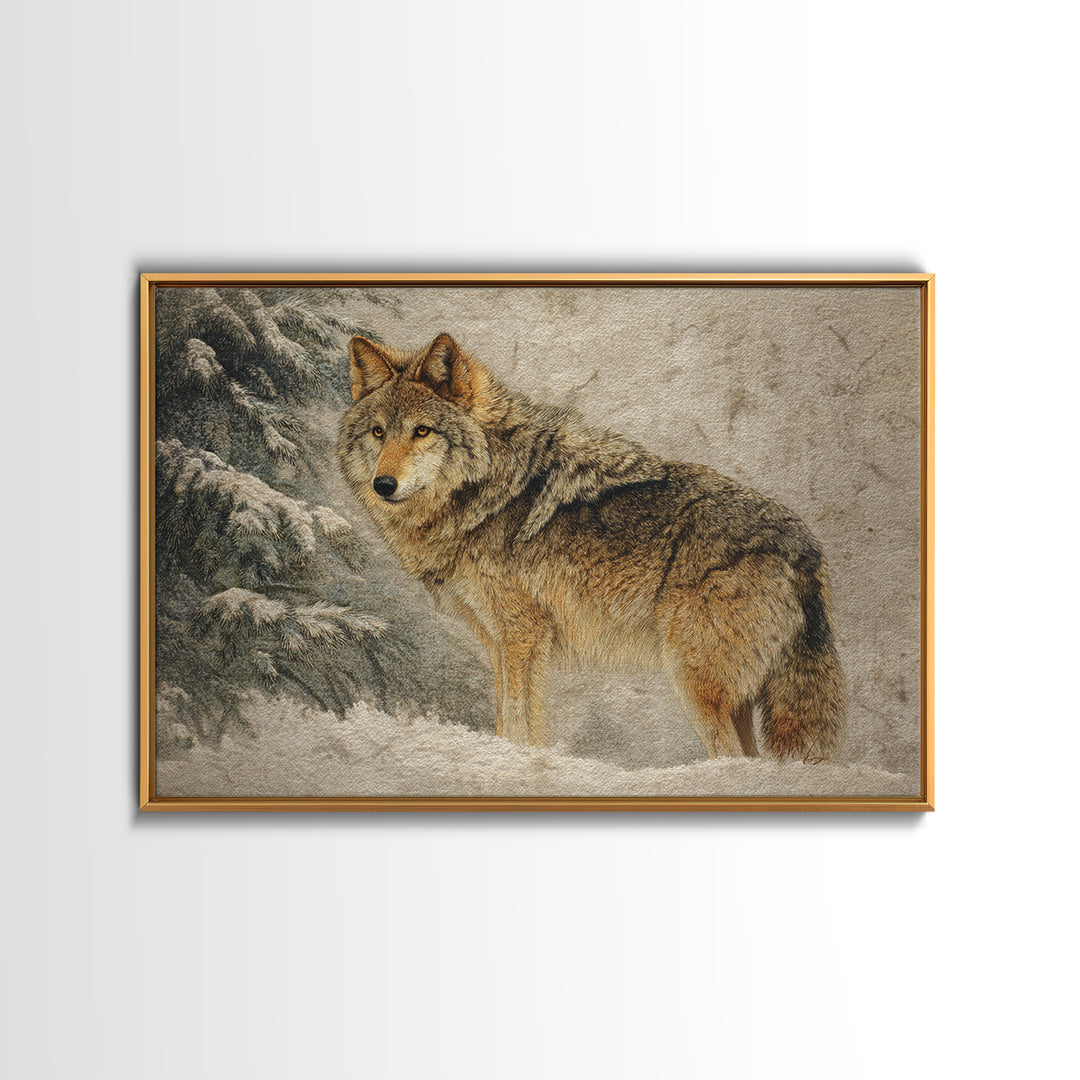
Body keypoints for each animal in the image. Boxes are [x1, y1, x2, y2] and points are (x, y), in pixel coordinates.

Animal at [337, 332, 845, 760]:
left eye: (422, 431)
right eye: (378, 433)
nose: (384, 484)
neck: (486, 488)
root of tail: (805, 546)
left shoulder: (522, 635)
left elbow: (518, 722)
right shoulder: (498, 639)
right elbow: (506, 718)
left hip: (694, 682)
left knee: (731, 757)